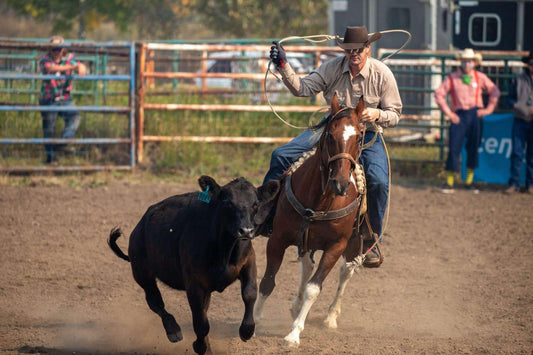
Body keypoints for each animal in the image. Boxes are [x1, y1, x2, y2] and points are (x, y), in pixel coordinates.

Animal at [254, 94, 366, 348]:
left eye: (358, 136)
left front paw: (294, 334)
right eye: (330, 135)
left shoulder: (336, 246)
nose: (341, 183)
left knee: (346, 271)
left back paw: (331, 317)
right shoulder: (277, 240)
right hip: (305, 241)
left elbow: (314, 288)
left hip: (353, 243)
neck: (320, 201)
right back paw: (296, 306)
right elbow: (267, 282)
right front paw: (252, 322)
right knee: (306, 265)